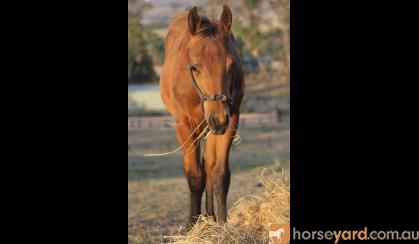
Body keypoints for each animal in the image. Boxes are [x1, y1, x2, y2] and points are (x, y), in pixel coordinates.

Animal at [161, 5, 246, 227]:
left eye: (232, 65)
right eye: (195, 67)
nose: (218, 118)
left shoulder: (231, 120)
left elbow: (219, 174)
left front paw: (222, 224)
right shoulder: (185, 125)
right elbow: (194, 175)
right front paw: (192, 225)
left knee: (208, 166)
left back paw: (210, 216)